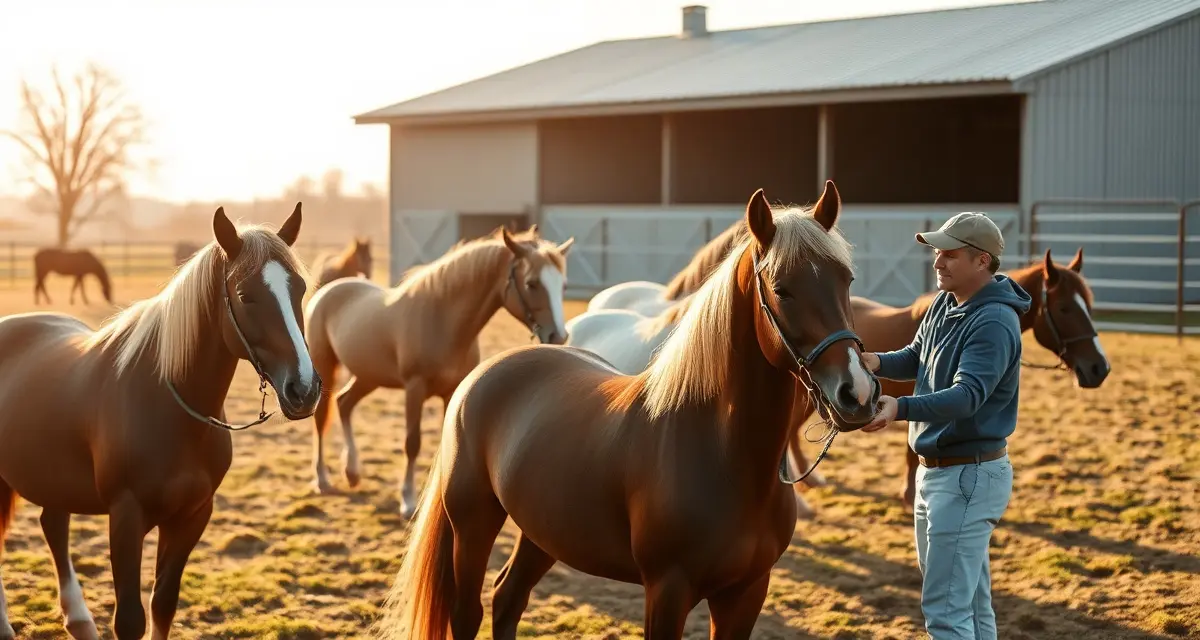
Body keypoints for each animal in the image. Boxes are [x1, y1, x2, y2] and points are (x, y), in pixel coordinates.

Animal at [0, 203, 322, 640]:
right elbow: (130, 619)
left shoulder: (192, 516)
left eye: (300, 289)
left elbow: (163, 605)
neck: (171, 409)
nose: (304, 388)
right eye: (245, 295)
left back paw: (79, 619)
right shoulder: (125, 517)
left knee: (54, 525)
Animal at [302, 226, 575, 518]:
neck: (442, 319)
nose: (558, 336)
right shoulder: (414, 388)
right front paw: (407, 501)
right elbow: (412, 443)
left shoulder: (451, 392)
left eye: (563, 285)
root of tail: (327, 291)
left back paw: (352, 472)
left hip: (369, 376)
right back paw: (322, 479)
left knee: (344, 403)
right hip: (326, 367)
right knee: (322, 415)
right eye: (532, 283)